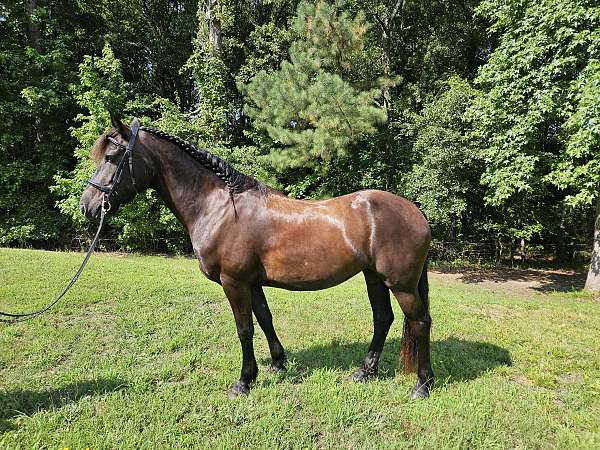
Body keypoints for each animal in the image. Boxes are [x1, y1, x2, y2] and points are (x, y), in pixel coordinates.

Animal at [81, 117, 436, 400]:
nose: (88, 206)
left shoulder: (233, 282)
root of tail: (417, 213)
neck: (220, 208)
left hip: (401, 283)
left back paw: (422, 385)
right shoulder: (251, 283)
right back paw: (365, 372)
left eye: (112, 157)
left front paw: (243, 382)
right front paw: (278, 364)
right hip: (373, 277)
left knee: (420, 322)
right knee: (383, 319)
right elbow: (265, 319)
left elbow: (245, 329)